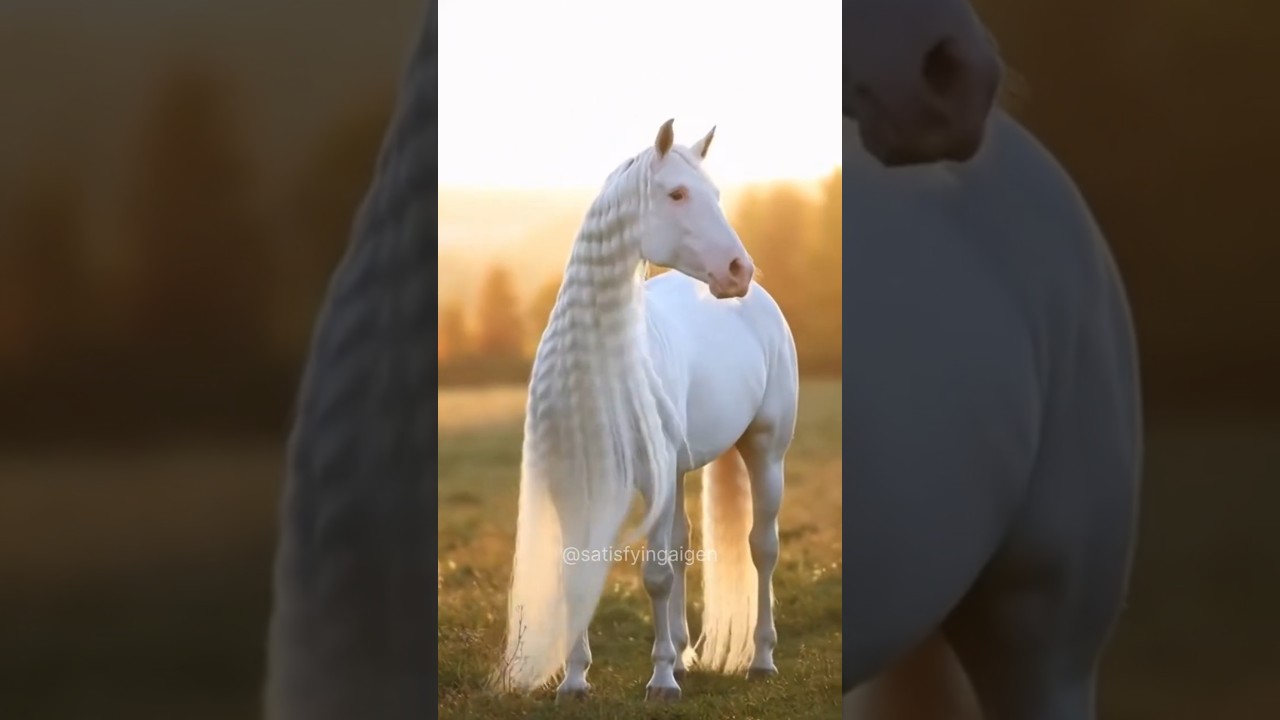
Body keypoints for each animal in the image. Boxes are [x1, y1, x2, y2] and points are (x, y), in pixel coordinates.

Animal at [494, 118, 799, 704]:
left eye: (716, 195)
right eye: (677, 194)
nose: (738, 270)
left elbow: (655, 577)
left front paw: (659, 681)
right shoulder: (574, 483)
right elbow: (578, 574)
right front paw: (575, 681)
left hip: (765, 451)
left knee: (762, 548)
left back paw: (761, 660)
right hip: (678, 473)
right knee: (682, 546)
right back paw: (681, 653)